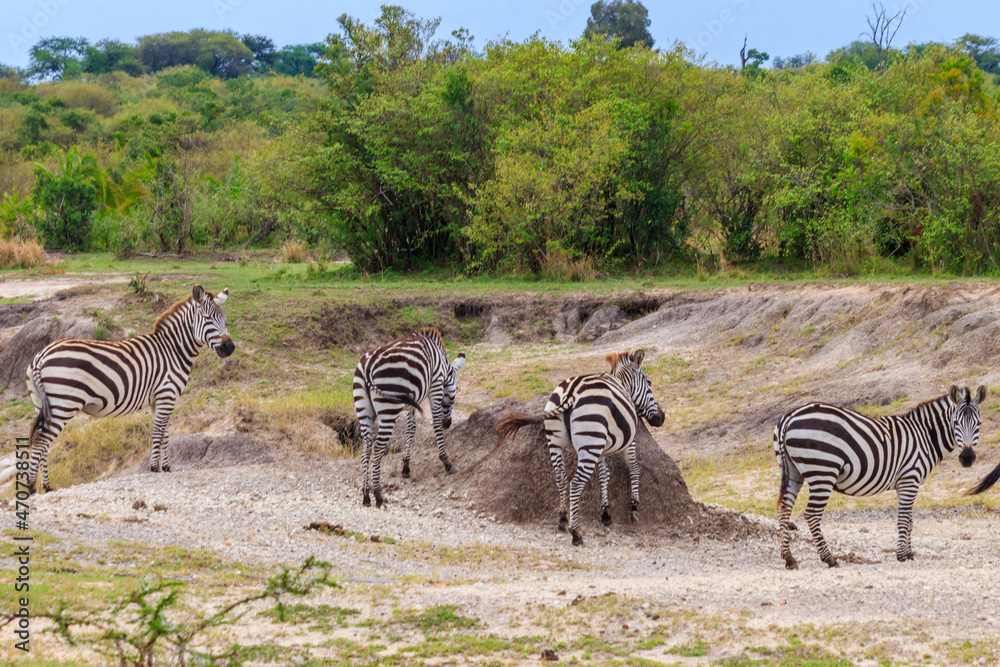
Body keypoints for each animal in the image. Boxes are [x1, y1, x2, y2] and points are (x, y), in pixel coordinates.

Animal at [23, 285, 235, 495]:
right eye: (208, 319)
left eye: (224, 319)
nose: (230, 347)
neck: (174, 350)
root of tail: (40, 356)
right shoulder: (167, 394)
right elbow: (158, 432)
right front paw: (154, 468)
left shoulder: (158, 399)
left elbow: (165, 433)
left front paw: (166, 467)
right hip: (63, 403)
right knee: (42, 441)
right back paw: (32, 487)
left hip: (42, 403)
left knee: (42, 442)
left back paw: (47, 486)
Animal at [353, 327, 466, 508]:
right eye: (455, 394)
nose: (448, 424)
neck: (442, 363)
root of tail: (366, 367)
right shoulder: (436, 387)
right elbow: (435, 424)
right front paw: (447, 463)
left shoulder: (413, 400)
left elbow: (411, 429)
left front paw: (406, 466)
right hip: (388, 409)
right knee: (377, 448)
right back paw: (378, 495)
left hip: (364, 410)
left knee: (365, 448)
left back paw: (366, 495)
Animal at [495, 349, 665, 546]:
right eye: (649, 383)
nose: (662, 418)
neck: (622, 383)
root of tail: (571, 392)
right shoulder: (629, 441)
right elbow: (634, 468)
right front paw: (634, 507)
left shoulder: (602, 447)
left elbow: (604, 475)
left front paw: (606, 513)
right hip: (589, 442)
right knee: (575, 483)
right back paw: (576, 533)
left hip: (557, 443)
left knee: (561, 478)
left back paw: (562, 520)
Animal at [774, 384, 986, 569]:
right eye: (956, 423)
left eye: (979, 424)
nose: (967, 458)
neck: (925, 436)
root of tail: (789, 416)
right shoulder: (910, 478)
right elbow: (904, 519)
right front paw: (901, 555)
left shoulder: (907, 483)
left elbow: (910, 520)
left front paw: (909, 553)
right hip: (823, 471)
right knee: (811, 514)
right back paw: (829, 559)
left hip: (794, 472)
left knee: (784, 510)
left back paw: (789, 558)